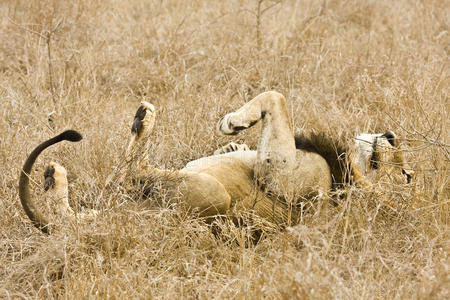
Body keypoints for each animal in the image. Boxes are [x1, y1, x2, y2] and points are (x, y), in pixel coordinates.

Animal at [17, 91, 414, 234]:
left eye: (406, 175)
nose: (392, 135)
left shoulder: (281, 177)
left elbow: (277, 96)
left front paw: (233, 121)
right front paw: (234, 136)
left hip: (209, 194)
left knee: (130, 173)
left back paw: (143, 120)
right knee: (71, 217)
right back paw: (54, 178)